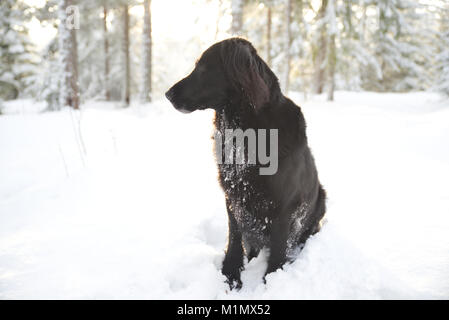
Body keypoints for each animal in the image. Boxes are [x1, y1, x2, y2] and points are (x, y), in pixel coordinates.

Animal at [165, 37, 326, 288]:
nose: (167, 94)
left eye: (203, 68)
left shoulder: (285, 205)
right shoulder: (233, 196)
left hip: (321, 200)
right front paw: (230, 274)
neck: (246, 131)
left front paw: (272, 281)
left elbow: (278, 249)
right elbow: (234, 237)